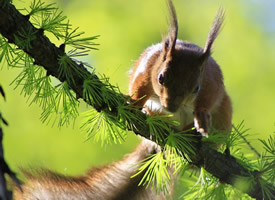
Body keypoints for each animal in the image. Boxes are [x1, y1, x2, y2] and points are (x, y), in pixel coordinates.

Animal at [13, 0, 233, 199]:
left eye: (196, 87)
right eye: (161, 77)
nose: (170, 106)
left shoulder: (211, 85)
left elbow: (207, 102)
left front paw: (202, 119)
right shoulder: (148, 67)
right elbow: (139, 85)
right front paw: (134, 103)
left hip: (224, 117)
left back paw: (192, 134)